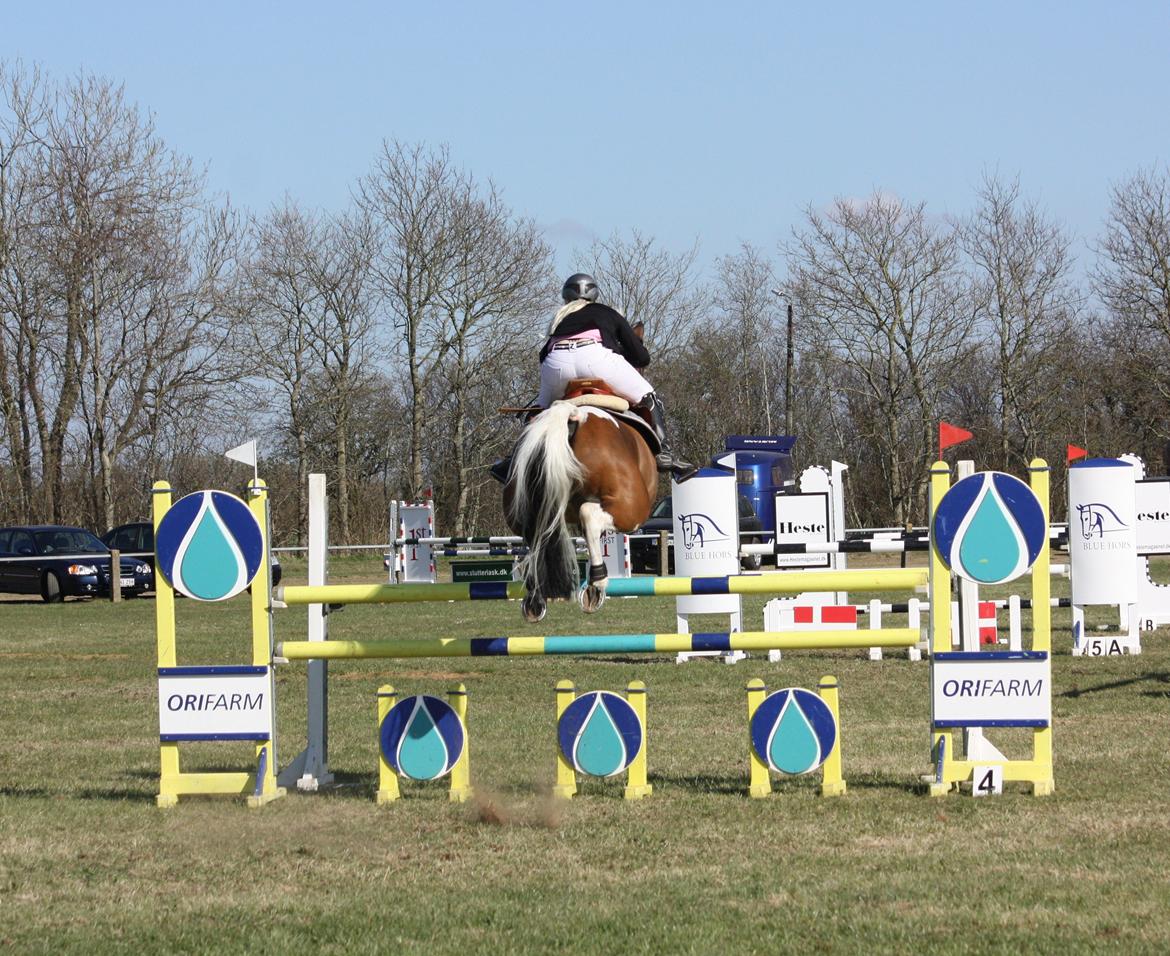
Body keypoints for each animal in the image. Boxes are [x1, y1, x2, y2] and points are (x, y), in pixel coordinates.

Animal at [505, 383, 659, 622]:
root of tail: (572, 414)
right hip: (633, 508)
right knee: (589, 516)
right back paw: (596, 584)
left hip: (520, 505)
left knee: (535, 533)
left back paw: (535, 598)